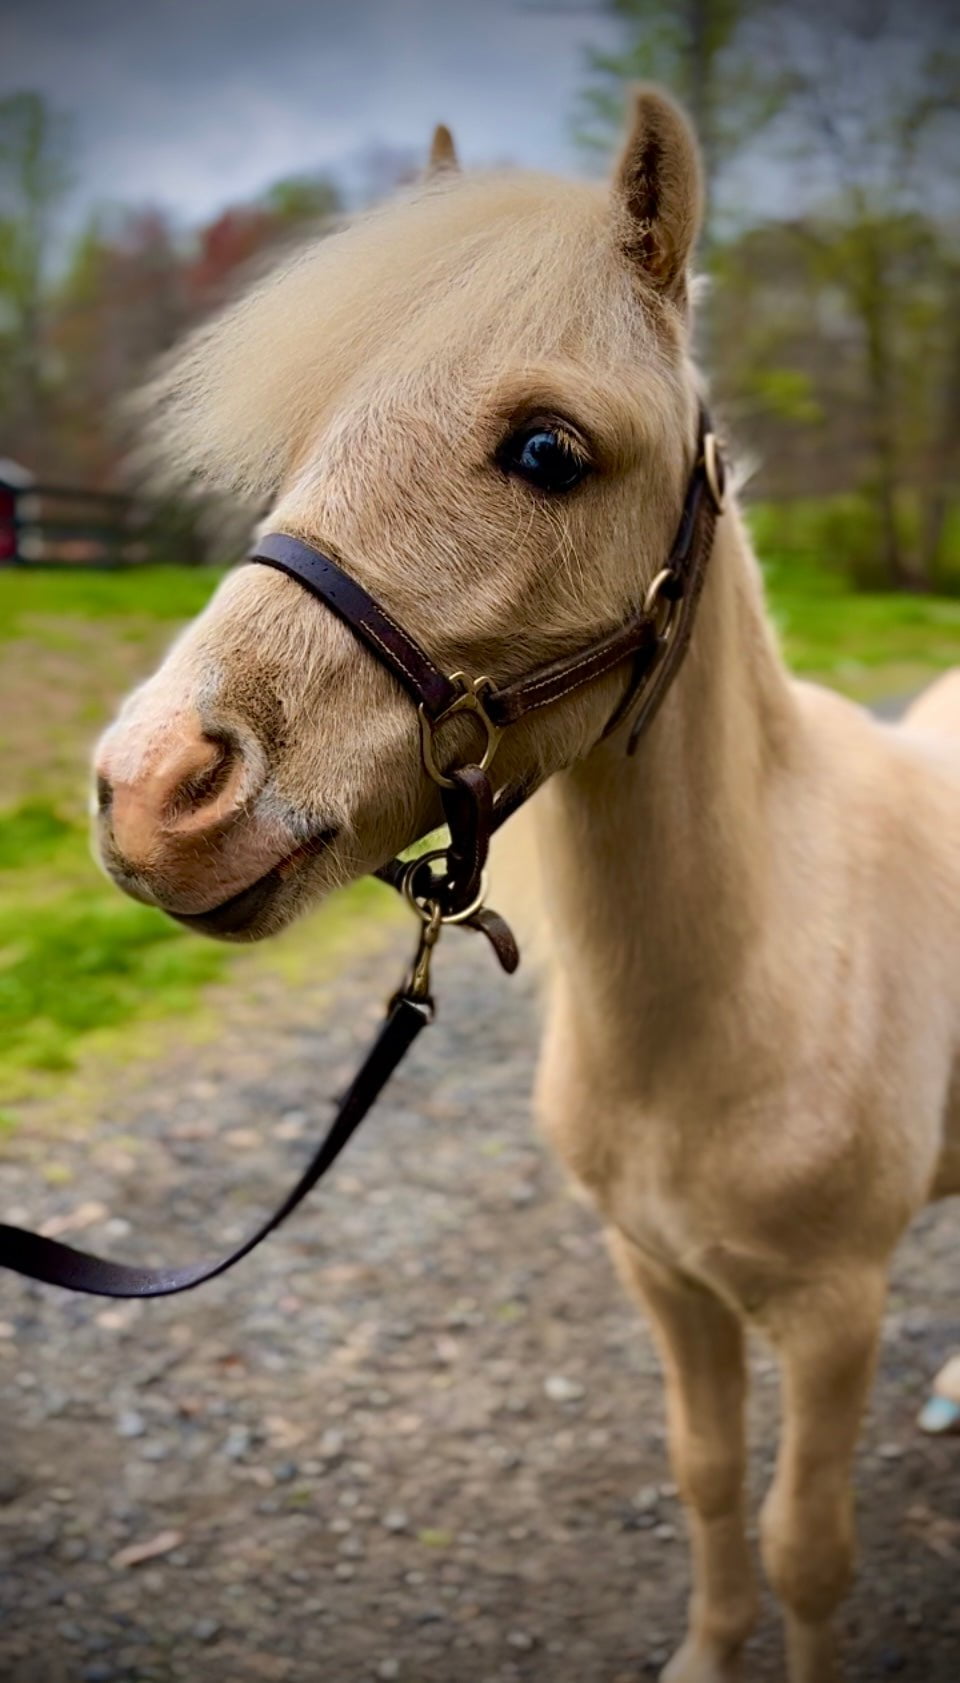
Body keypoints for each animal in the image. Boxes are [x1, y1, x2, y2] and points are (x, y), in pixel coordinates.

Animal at [91, 88, 956, 1683]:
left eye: (548, 450)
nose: (153, 790)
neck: (748, 983)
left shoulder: (833, 1314)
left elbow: (810, 1545)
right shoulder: (663, 1276)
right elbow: (703, 1475)